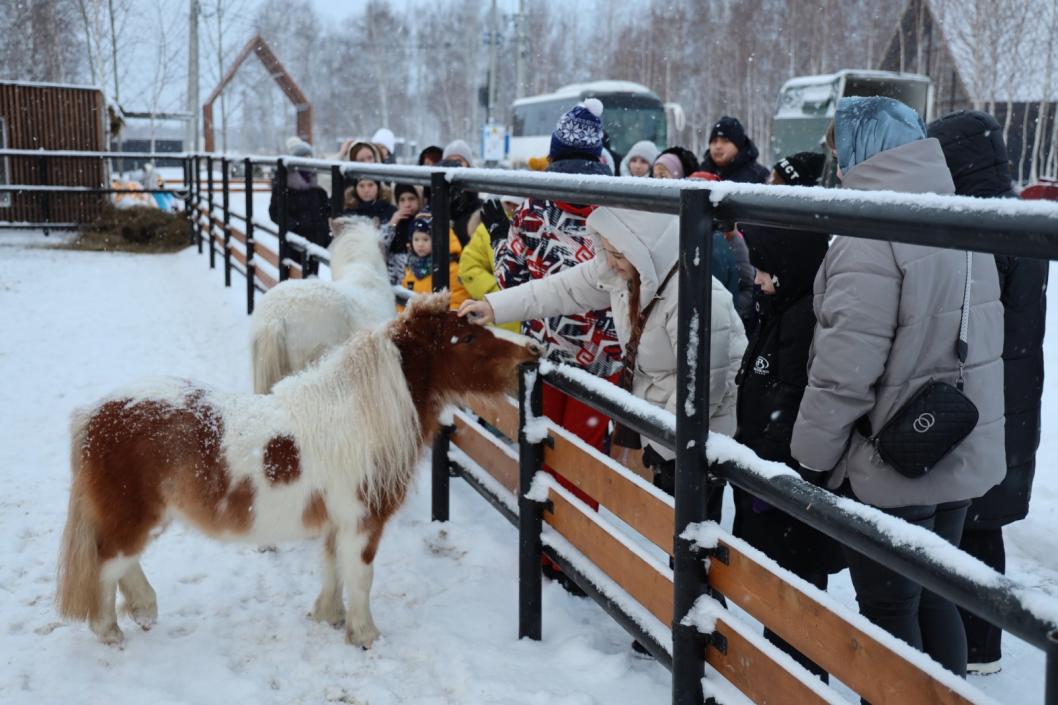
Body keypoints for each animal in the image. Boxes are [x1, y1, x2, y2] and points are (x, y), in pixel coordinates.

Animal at [57, 290, 537, 643]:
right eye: (467, 339)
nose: (530, 354)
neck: (359, 417)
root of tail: (96, 413)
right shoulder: (363, 522)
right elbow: (361, 575)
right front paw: (365, 635)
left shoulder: (337, 523)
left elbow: (332, 568)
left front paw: (329, 616)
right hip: (134, 517)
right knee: (107, 563)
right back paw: (111, 631)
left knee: (123, 564)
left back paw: (144, 609)